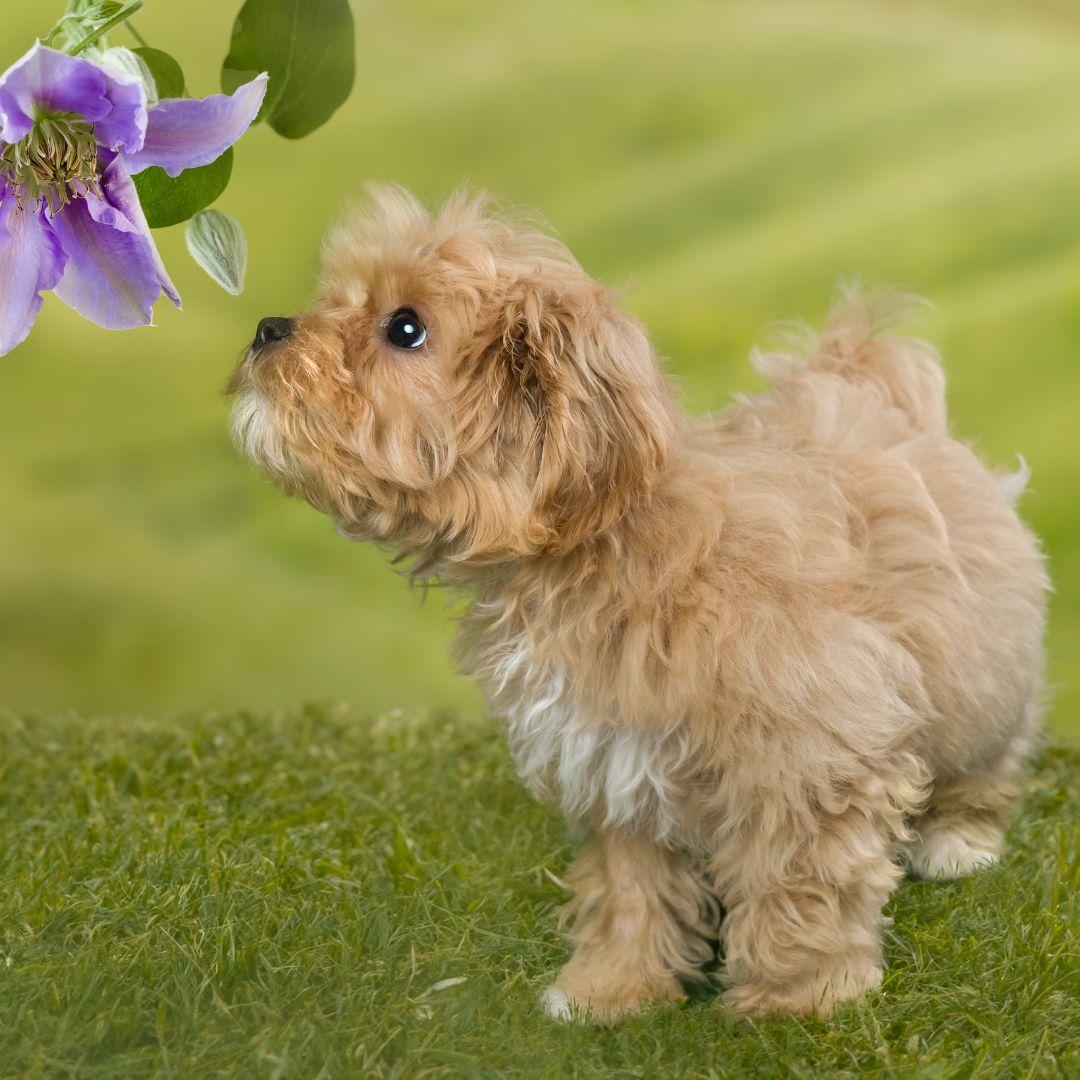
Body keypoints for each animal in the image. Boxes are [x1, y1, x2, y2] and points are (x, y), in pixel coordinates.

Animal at [225, 185, 1045, 1019]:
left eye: (405, 328)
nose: (267, 329)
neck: (604, 544)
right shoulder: (615, 755)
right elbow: (632, 883)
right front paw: (613, 987)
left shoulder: (809, 746)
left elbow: (796, 875)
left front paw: (793, 999)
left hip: (979, 664)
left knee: (985, 752)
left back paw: (959, 840)